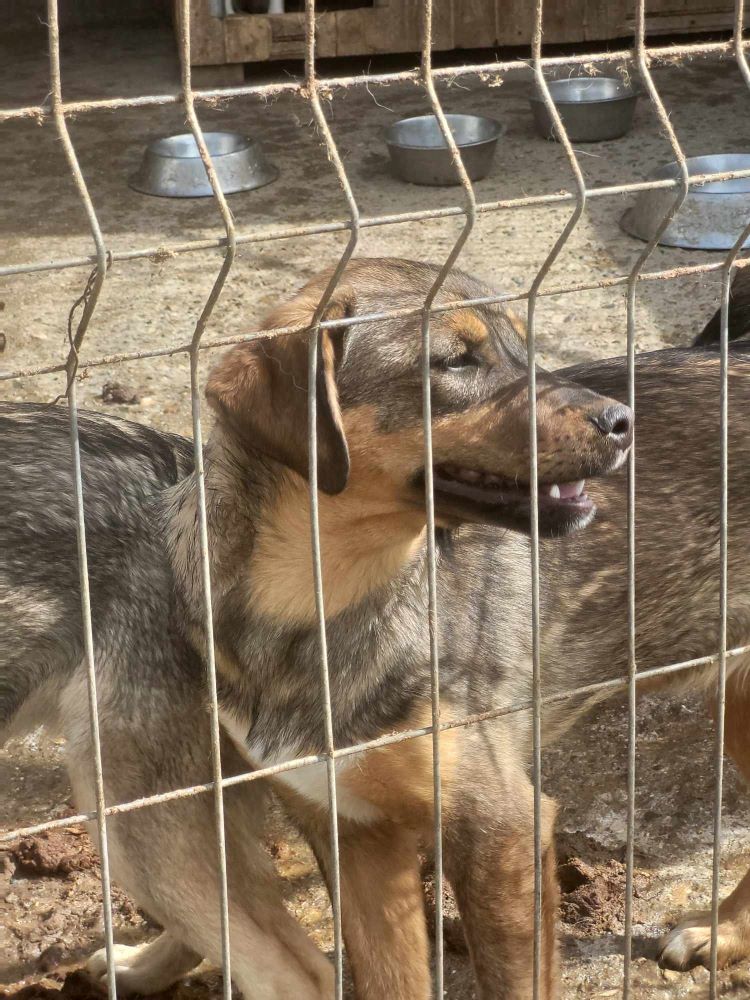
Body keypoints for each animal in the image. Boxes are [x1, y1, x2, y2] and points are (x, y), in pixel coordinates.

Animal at [1, 260, 750, 1000]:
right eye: (455, 360)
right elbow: (387, 975)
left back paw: (719, 933)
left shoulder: (502, 829)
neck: (320, 609)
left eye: (527, 350)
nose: (623, 420)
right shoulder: (351, 831)